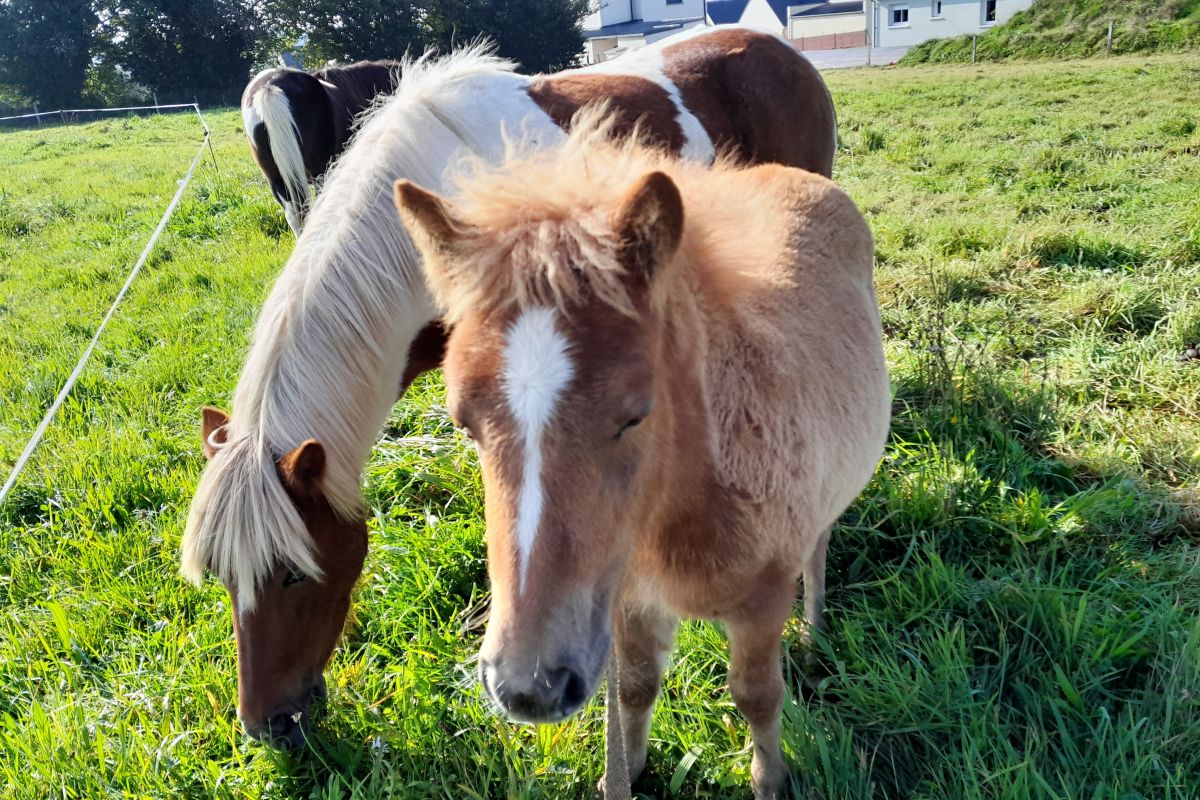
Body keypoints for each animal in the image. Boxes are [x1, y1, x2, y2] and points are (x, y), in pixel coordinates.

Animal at [393, 120, 892, 800]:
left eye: (634, 416)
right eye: (463, 423)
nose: (529, 687)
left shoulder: (762, 603)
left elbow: (758, 696)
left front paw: (770, 780)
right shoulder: (625, 599)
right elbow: (633, 689)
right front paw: (625, 771)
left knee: (818, 547)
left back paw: (814, 637)